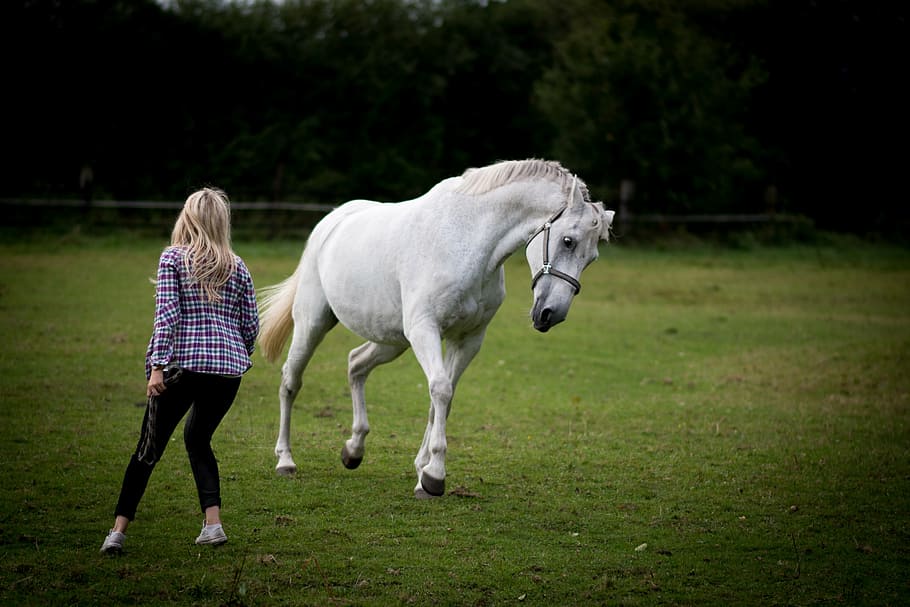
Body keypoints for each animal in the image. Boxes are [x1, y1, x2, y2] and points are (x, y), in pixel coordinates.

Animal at [257, 159, 615, 498]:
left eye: (592, 258)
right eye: (567, 241)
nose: (551, 314)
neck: (467, 241)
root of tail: (331, 222)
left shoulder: (468, 340)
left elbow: (442, 399)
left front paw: (422, 471)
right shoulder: (424, 330)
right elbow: (440, 390)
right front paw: (434, 476)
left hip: (391, 340)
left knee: (356, 364)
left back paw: (353, 450)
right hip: (313, 323)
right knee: (291, 381)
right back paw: (285, 460)